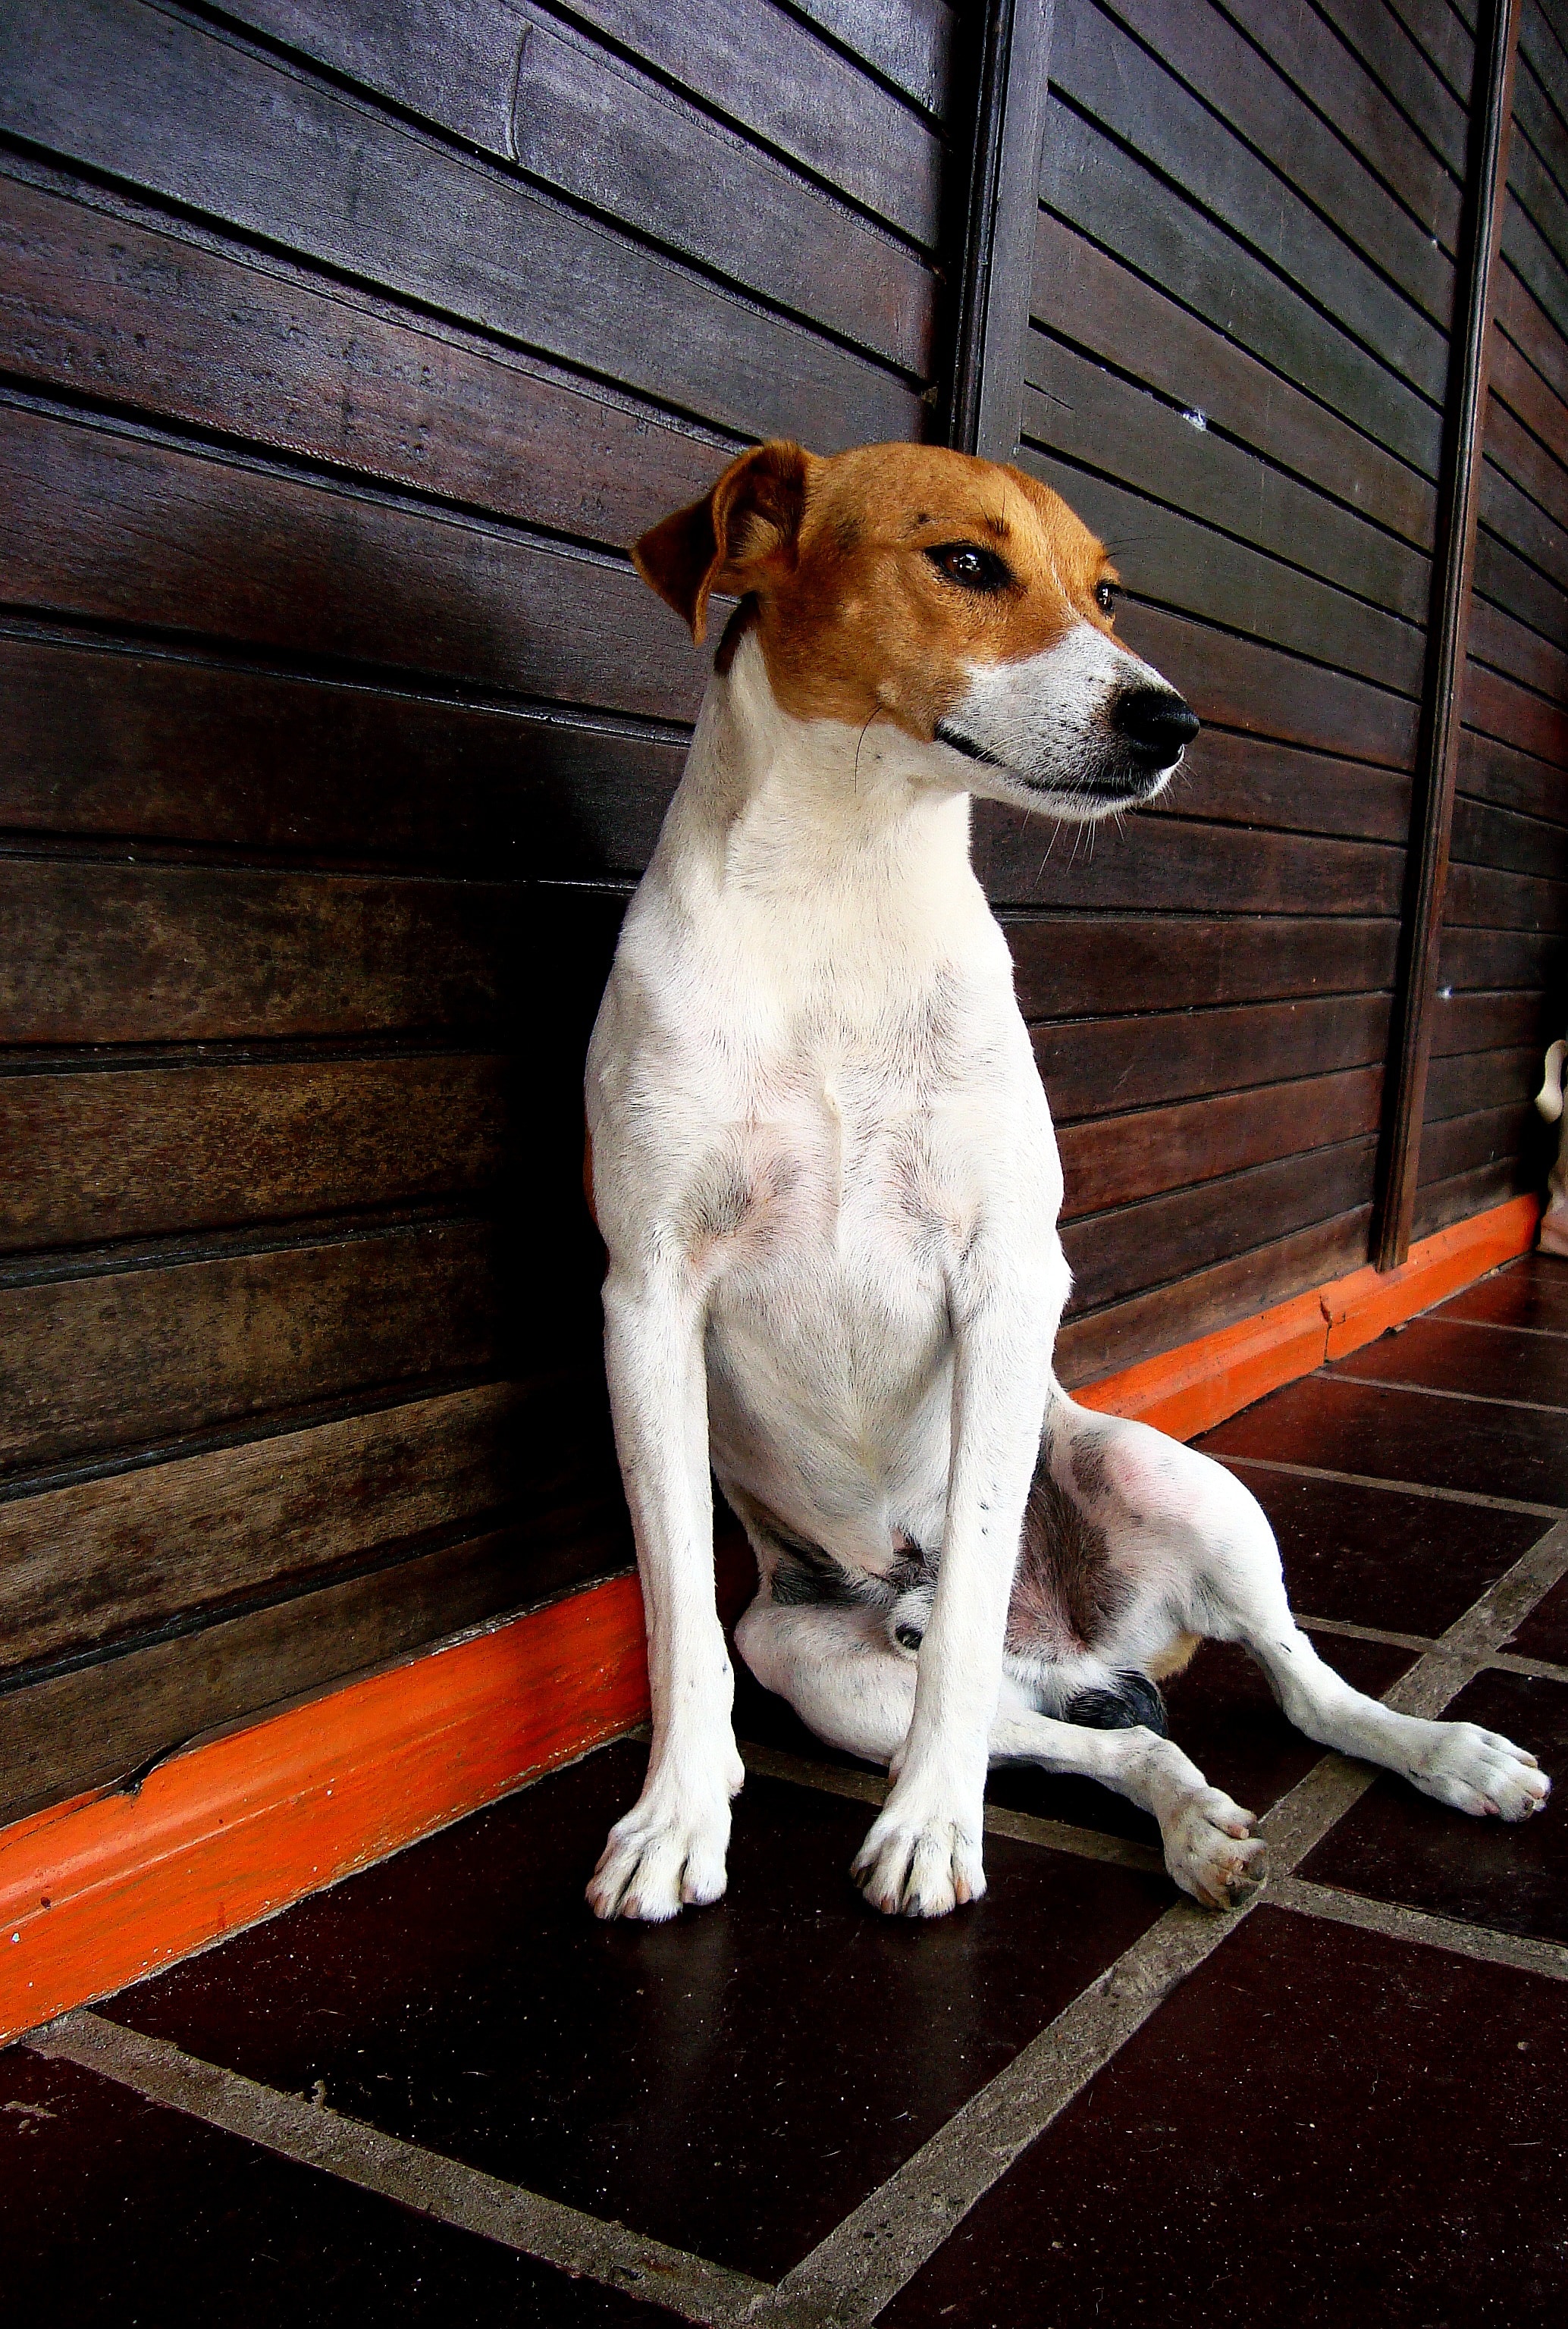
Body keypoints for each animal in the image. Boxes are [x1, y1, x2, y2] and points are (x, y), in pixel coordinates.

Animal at [580, 440, 1547, 1928]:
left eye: (1103, 592)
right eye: (967, 562)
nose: (1171, 720)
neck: (840, 892)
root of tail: (1080, 1646)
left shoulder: (1007, 1278)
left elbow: (975, 1585)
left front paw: (929, 1827)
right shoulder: (647, 1296)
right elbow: (675, 1605)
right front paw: (678, 1816)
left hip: (1173, 1477)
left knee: (1293, 1687)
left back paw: (1444, 1751)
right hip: (822, 1662)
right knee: (1101, 1736)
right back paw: (1192, 1822)